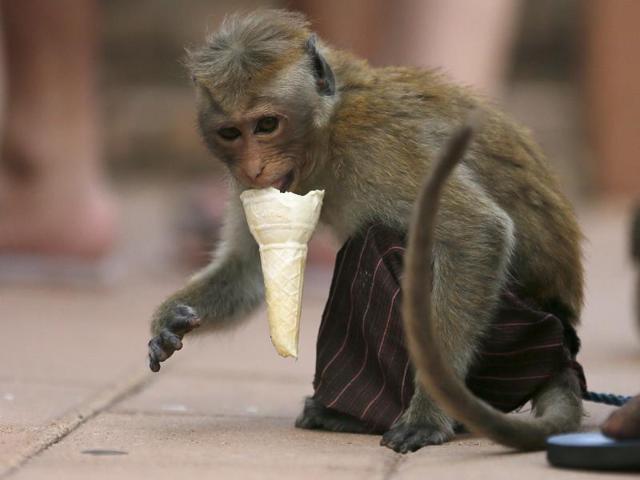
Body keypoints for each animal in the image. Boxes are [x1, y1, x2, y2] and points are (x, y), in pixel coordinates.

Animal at [147, 10, 585, 453]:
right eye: (231, 134)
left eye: (267, 125)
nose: (254, 169)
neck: (327, 132)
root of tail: (562, 346)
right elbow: (248, 270)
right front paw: (171, 318)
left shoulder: (378, 146)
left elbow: (477, 232)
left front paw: (428, 412)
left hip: (515, 338)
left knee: (379, 242)